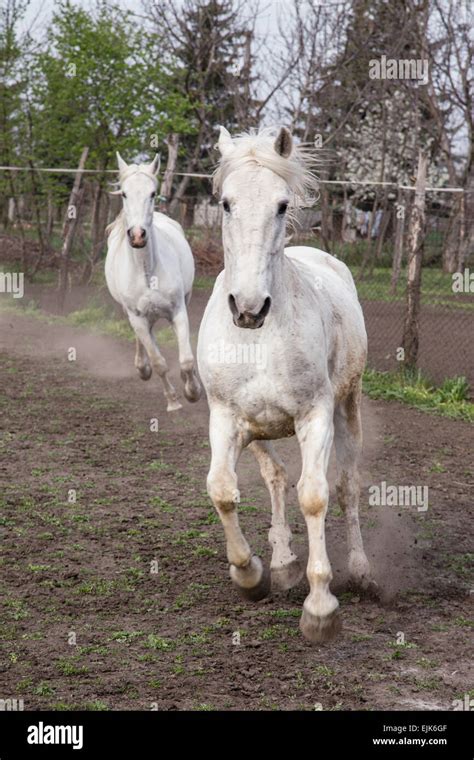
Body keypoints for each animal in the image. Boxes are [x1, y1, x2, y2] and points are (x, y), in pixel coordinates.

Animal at [105, 153, 202, 410]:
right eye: (124, 193)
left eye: (152, 193)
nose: (138, 235)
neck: (147, 273)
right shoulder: (137, 317)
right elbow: (159, 362)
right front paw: (173, 401)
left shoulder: (178, 310)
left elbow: (186, 359)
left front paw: (193, 392)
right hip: (132, 313)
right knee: (144, 339)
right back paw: (142, 368)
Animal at [196, 127, 374, 644]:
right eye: (226, 203)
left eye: (280, 205)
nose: (249, 306)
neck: (259, 338)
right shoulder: (226, 418)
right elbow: (222, 489)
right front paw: (251, 574)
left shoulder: (315, 416)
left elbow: (315, 494)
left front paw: (320, 608)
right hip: (260, 429)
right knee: (273, 477)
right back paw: (282, 561)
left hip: (348, 405)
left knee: (349, 484)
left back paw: (361, 570)